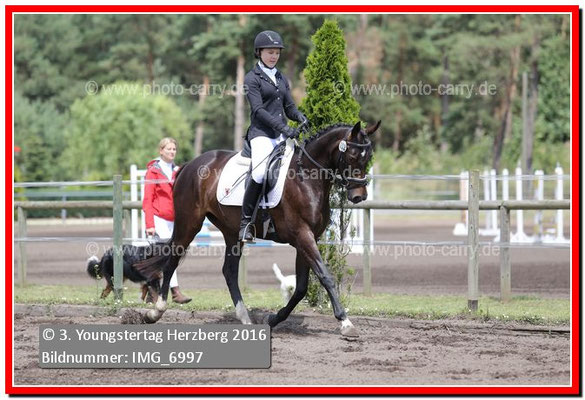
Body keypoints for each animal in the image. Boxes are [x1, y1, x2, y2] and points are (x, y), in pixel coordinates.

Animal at [136, 120, 380, 337]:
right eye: (352, 156)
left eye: (368, 157)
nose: (359, 196)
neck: (307, 177)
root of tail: (190, 164)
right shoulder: (303, 236)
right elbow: (325, 276)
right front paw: (346, 323)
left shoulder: (307, 238)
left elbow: (301, 286)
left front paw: (273, 319)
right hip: (189, 223)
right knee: (172, 261)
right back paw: (156, 311)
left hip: (232, 233)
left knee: (229, 271)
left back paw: (245, 318)